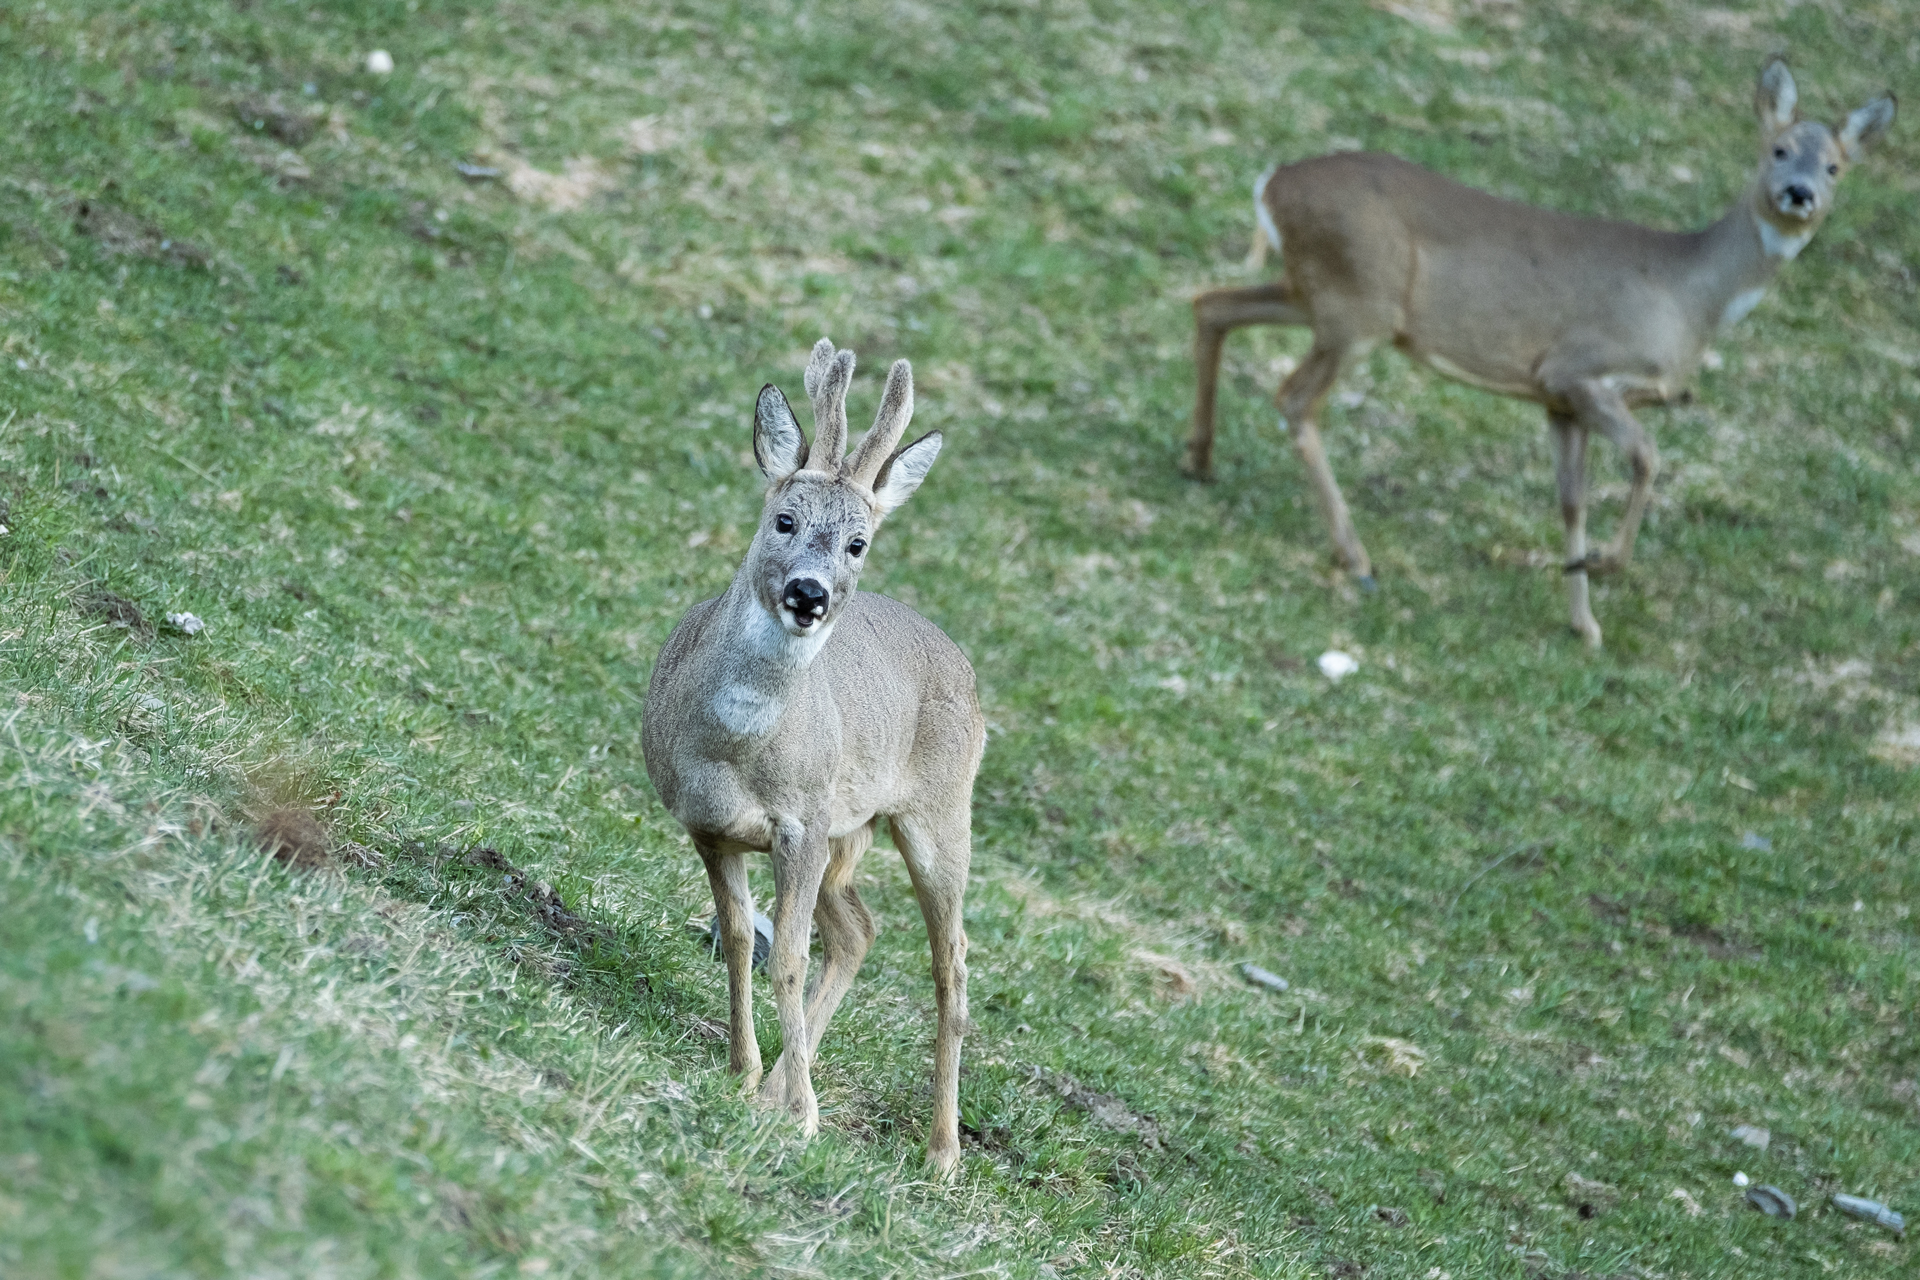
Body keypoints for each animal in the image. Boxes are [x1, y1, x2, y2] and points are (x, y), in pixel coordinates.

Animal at [641, 339, 984, 1175]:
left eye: (858, 543)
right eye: (784, 519)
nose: (810, 594)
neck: (732, 749)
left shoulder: (799, 824)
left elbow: (788, 958)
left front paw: (800, 1115)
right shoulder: (710, 828)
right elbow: (741, 940)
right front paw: (746, 1074)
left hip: (936, 813)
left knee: (952, 961)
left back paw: (943, 1152)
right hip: (847, 832)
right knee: (858, 929)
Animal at [1185, 58, 1895, 646]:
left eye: (1835, 166)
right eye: (1779, 149)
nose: (1800, 193)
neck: (1689, 297)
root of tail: (1271, 183)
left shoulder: (1558, 401)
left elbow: (1572, 500)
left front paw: (1585, 622)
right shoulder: (1577, 371)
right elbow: (1647, 457)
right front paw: (1606, 566)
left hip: (1314, 294)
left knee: (1210, 304)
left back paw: (1199, 461)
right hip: (1358, 304)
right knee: (1293, 397)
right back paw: (1356, 559)